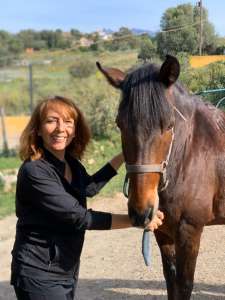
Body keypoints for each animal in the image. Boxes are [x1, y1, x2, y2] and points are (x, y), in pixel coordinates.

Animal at [96, 54, 225, 300]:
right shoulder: (163, 231)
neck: (189, 156)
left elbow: (184, 285)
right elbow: (170, 280)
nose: (140, 211)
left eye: (169, 125)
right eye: (119, 124)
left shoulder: (189, 230)